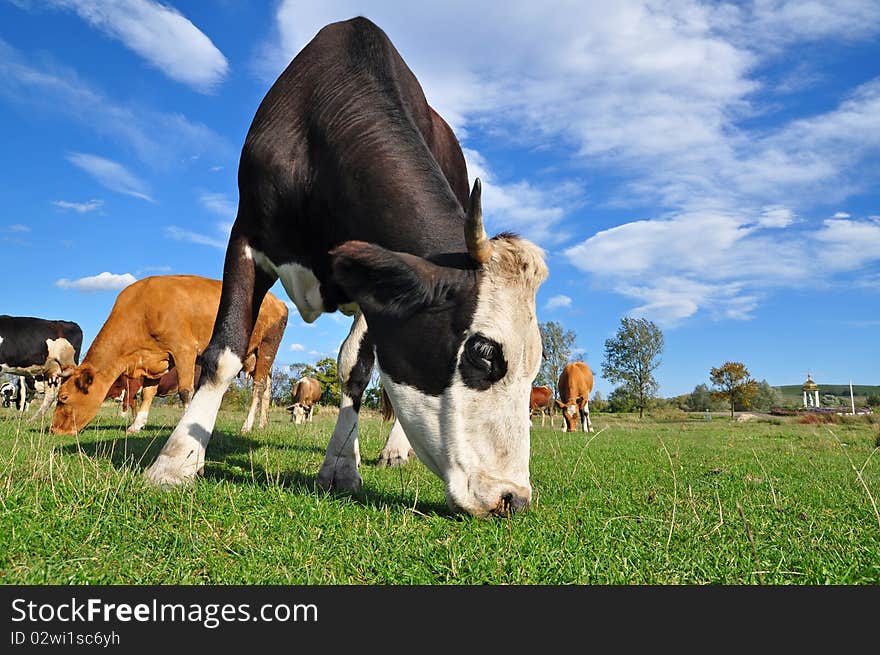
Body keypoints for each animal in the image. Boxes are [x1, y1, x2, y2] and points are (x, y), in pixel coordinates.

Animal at [50, 276, 288, 436]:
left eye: (64, 397)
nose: (53, 430)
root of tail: (278, 302)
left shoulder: (184, 350)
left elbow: (185, 392)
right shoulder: (156, 359)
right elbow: (147, 393)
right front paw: (136, 425)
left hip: (267, 347)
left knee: (258, 387)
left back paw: (247, 425)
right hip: (256, 356)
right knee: (267, 386)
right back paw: (262, 424)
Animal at [141, 18, 548, 516]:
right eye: (484, 353)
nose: (513, 497)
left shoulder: (375, 287)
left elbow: (355, 367)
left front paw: (340, 466)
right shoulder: (245, 237)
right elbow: (223, 354)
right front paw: (176, 461)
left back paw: (394, 449)